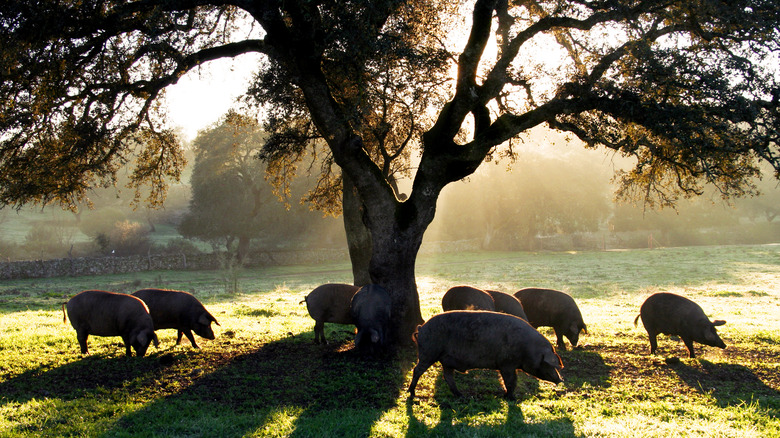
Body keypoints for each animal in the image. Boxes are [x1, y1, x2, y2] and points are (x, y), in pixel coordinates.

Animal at [408, 310, 560, 398]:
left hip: (445, 360)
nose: (560, 379)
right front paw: (510, 398)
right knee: (417, 370)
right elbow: (510, 381)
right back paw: (411, 393)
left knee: (448, 376)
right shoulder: (506, 364)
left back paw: (460, 396)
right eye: (547, 363)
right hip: (428, 353)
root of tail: (421, 328)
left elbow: (513, 381)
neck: (528, 348)